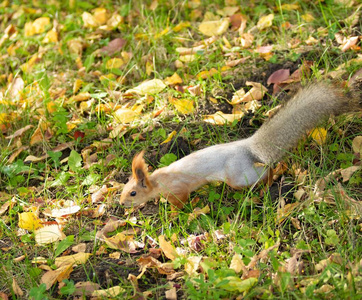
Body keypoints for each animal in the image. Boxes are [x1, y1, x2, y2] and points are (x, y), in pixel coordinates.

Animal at [119, 82, 360, 209]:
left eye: (132, 193)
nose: (121, 204)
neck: (158, 181)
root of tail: (247, 147)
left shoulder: (179, 188)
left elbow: (182, 201)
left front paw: (174, 213)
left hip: (238, 176)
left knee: (263, 172)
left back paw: (269, 182)